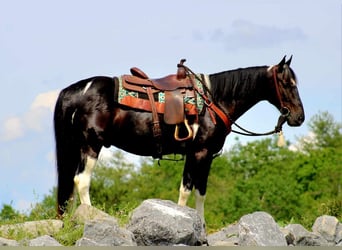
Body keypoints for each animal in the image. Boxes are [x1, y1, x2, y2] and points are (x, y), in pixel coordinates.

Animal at [53, 55, 304, 224]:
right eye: (287, 84)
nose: (299, 117)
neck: (213, 101)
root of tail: (74, 91)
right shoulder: (198, 153)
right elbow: (186, 190)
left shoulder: (207, 156)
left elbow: (201, 192)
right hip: (90, 146)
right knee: (81, 181)